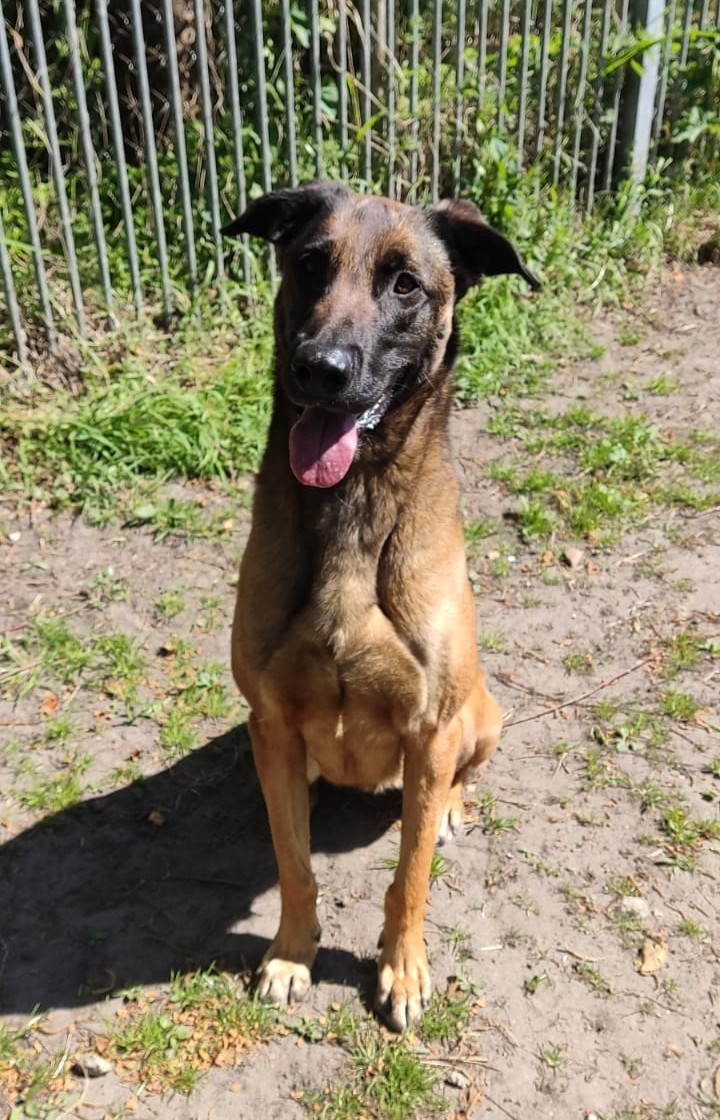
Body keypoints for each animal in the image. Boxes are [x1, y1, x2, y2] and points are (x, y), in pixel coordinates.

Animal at [222, 182, 539, 1031]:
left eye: (405, 285)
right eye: (308, 264)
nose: (320, 369)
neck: (354, 505)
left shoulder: (429, 731)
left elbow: (411, 878)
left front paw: (403, 970)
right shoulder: (271, 718)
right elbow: (294, 864)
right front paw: (291, 955)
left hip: (480, 718)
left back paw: (455, 808)